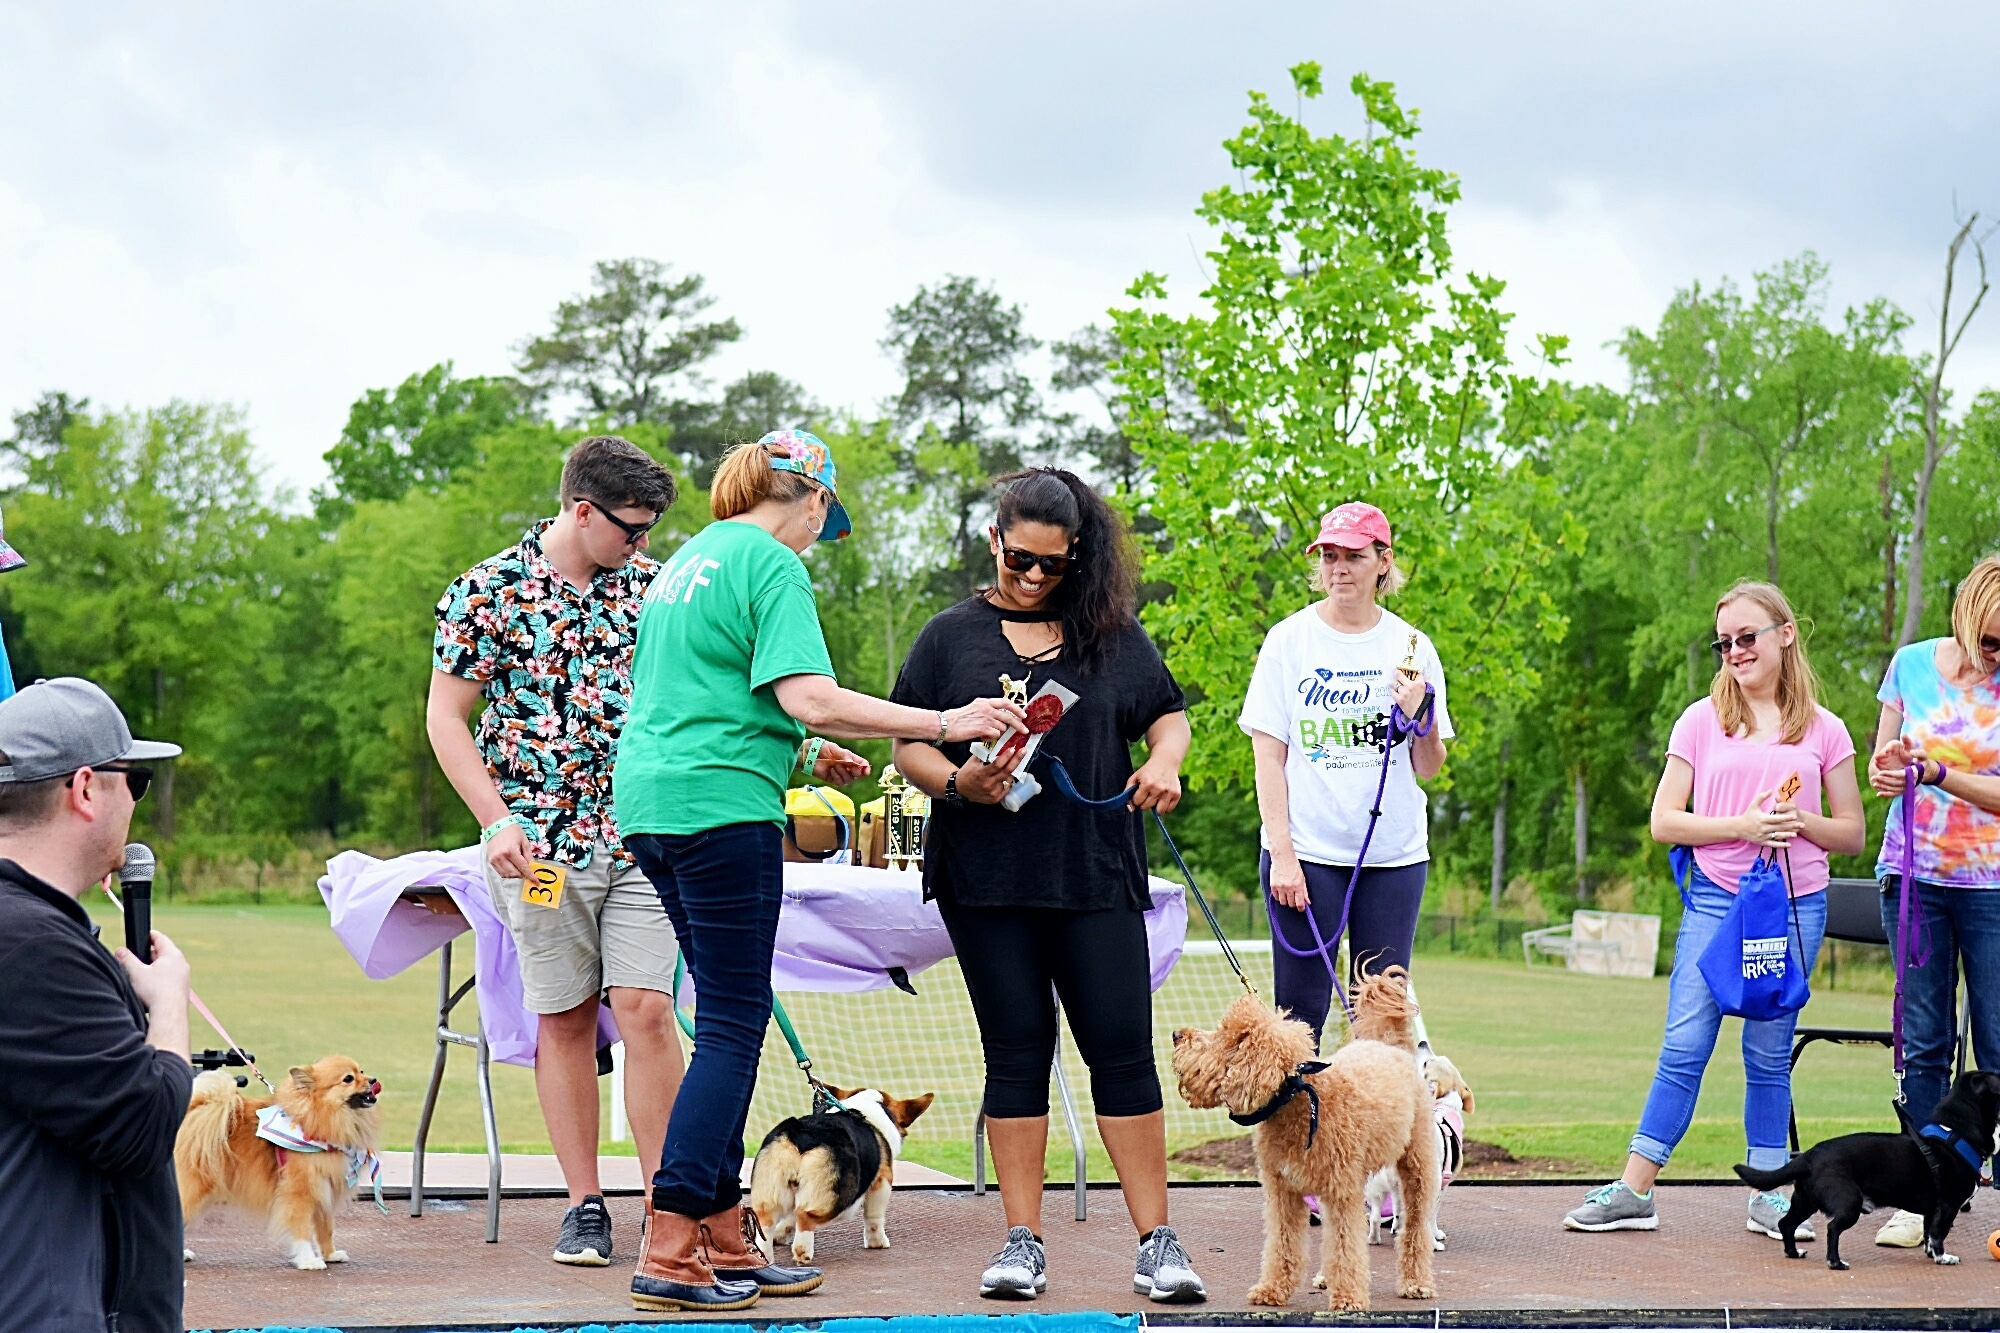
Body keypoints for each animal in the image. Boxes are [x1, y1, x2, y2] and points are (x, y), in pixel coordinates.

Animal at [177, 1048, 382, 1264]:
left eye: (361, 1071)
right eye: (348, 1079)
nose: (373, 1080)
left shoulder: (324, 1189)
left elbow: (326, 1228)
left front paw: (330, 1254)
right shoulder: (300, 1192)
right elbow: (302, 1230)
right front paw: (308, 1261)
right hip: (194, 1187)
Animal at [752, 1080, 936, 1256]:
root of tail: (804, 1135)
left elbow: (788, 1219)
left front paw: (780, 1236)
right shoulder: (882, 1181)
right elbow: (874, 1217)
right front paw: (878, 1243)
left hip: (771, 1189)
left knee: (768, 1221)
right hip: (838, 1196)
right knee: (805, 1216)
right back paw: (803, 1252)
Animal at [1168, 976, 1440, 1304]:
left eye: (1225, 1037)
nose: (1176, 1034)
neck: (1296, 1099)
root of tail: (1387, 1045)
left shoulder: (1342, 1192)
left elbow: (1346, 1245)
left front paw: (1348, 1297)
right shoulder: (1283, 1191)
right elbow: (1284, 1243)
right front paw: (1273, 1289)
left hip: (1417, 1167)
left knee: (1414, 1228)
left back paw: (1416, 1282)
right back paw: (1325, 1277)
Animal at [1736, 1072, 2000, 1264]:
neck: (1957, 1134)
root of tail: (1809, 1156)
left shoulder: (1932, 1210)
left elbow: (1929, 1232)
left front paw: (1931, 1254)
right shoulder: (1947, 1207)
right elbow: (1939, 1234)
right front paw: (1943, 1257)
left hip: (1805, 1200)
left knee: (1787, 1224)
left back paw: (1794, 1253)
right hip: (1848, 1202)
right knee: (1832, 1229)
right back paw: (1835, 1262)